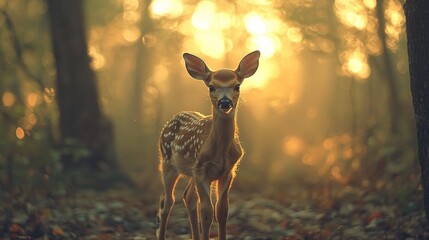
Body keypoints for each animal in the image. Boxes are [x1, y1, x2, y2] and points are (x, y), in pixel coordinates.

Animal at [155, 49, 260, 239]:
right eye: (211, 86)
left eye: (237, 86)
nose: (224, 102)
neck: (220, 151)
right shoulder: (201, 170)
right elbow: (206, 213)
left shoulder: (227, 172)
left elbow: (222, 211)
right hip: (167, 163)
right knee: (167, 201)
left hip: (190, 172)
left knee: (187, 197)